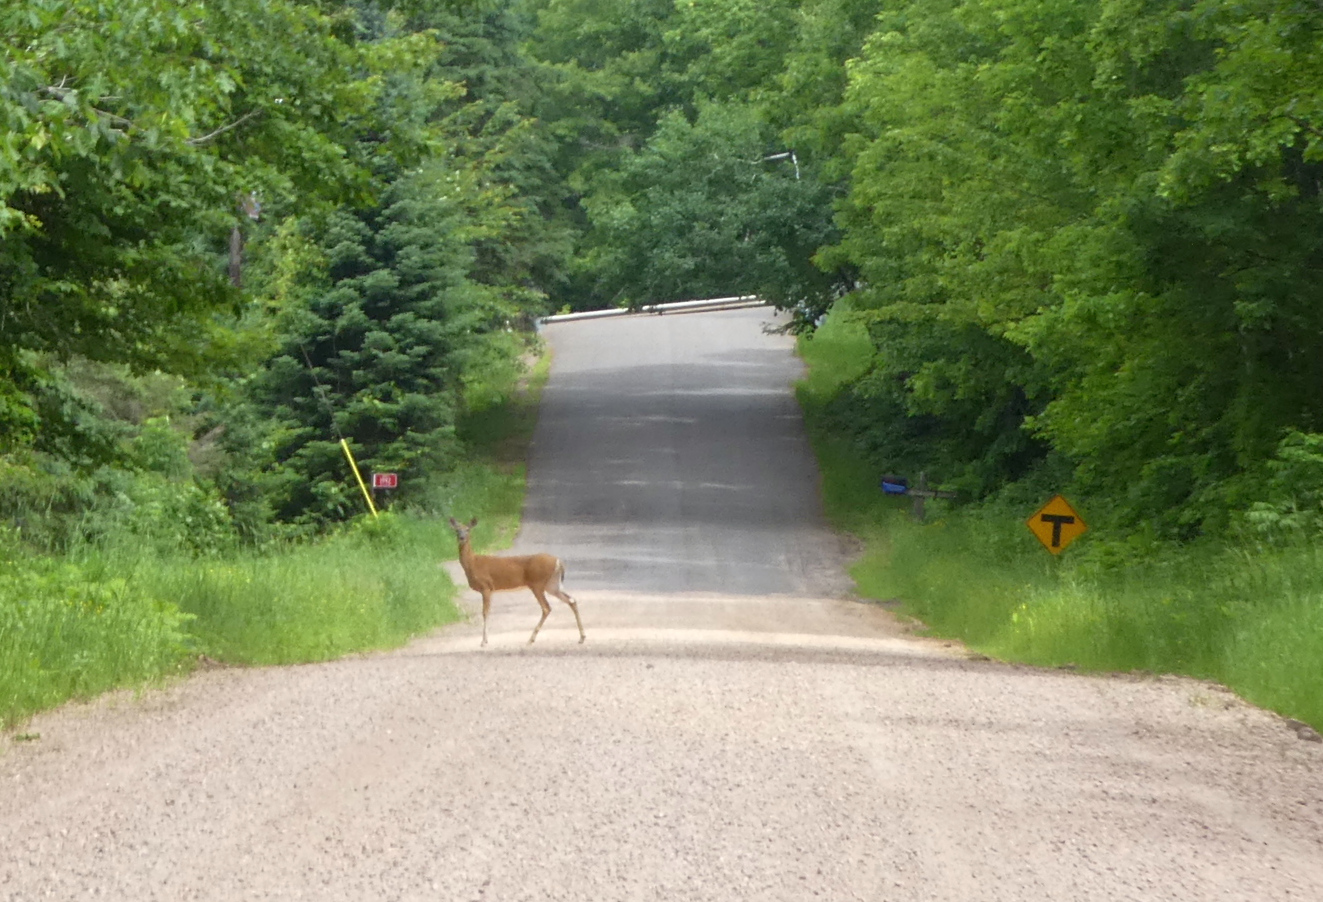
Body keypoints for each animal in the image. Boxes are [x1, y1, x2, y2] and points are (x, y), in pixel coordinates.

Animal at [449, 513, 584, 645]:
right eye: (457, 530)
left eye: (467, 529)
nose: (462, 537)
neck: (473, 563)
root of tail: (558, 561)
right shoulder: (489, 589)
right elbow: (487, 612)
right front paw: (485, 640)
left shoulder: (486, 586)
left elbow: (485, 612)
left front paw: (484, 641)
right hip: (552, 584)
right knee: (571, 600)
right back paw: (582, 637)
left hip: (537, 583)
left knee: (547, 608)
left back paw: (531, 639)